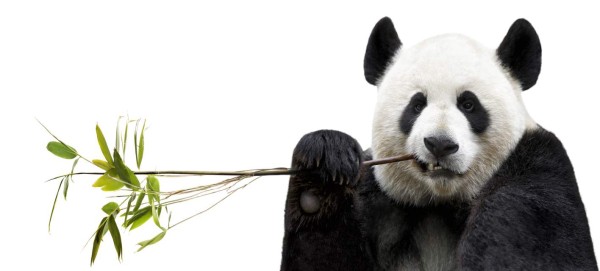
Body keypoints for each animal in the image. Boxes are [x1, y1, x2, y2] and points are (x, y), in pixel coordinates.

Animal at [278, 17, 596, 271]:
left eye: (468, 104)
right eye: (417, 105)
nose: (440, 145)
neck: (440, 203)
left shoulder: (539, 178)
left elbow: (521, 240)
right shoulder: (376, 197)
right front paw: (324, 163)